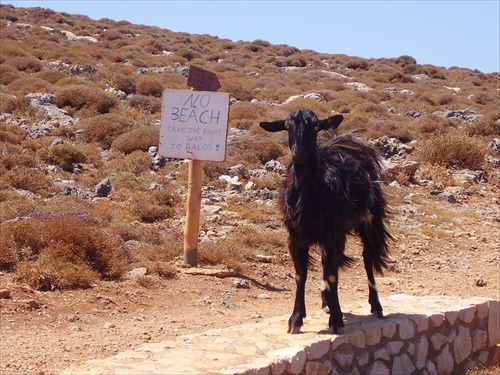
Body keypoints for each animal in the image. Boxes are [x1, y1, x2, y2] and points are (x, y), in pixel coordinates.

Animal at [260, 109, 392, 334]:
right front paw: (296, 319)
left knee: (367, 260)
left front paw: (336, 320)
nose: (298, 151)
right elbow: (301, 275)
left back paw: (376, 306)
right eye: (287, 127)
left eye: (315, 127)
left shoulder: (333, 236)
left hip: (369, 221)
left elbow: (332, 276)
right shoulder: (296, 238)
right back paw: (326, 302)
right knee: (327, 263)